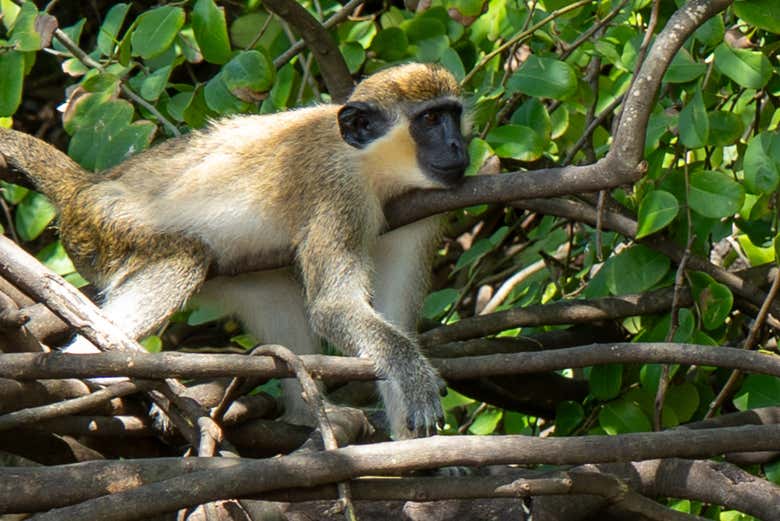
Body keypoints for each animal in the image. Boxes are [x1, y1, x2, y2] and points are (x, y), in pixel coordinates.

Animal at [0, 63, 470, 438]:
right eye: (429, 119)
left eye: (453, 115)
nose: (459, 147)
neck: (375, 169)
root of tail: (87, 185)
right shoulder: (339, 190)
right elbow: (335, 307)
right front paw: (414, 380)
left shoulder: (421, 211)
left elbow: (392, 316)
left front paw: (418, 454)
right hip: (106, 225)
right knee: (184, 258)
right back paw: (94, 371)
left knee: (275, 295)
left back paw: (309, 416)